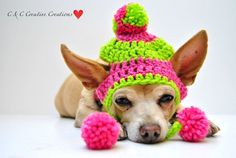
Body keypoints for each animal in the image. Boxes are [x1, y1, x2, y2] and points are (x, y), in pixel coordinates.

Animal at [54, 30, 219, 144]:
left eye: (167, 98)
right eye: (121, 101)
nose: (151, 132)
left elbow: (180, 108)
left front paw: (206, 122)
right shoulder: (82, 112)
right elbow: (94, 114)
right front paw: (114, 125)